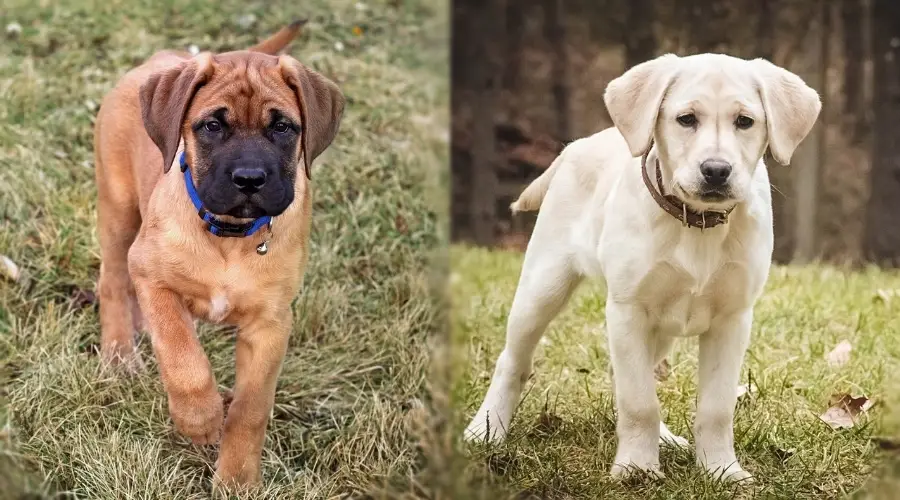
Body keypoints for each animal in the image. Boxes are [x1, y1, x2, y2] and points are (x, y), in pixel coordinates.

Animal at [92, 23, 344, 488]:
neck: (229, 236)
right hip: (118, 212)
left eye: (283, 128)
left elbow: (251, 409)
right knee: (114, 281)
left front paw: (238, 480)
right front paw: (199, 418)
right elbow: (183, 356)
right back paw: (120, 353)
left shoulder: (271, 324)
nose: (249, 179)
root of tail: (162, 56)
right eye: (211, 126)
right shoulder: (151, 275)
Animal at [464, 53, 824, 480]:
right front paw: (637, 468)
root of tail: (577, 146)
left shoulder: (732, 319)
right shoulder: (629, 309)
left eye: (745, 121)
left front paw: (720, 470)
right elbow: (638, 401)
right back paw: (486, 430)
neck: (696, 222)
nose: (716, 170)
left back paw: (666, 439)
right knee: (513, 361)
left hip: (660, 327)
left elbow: (715, 407)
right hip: (542, 287)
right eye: (686, 119)